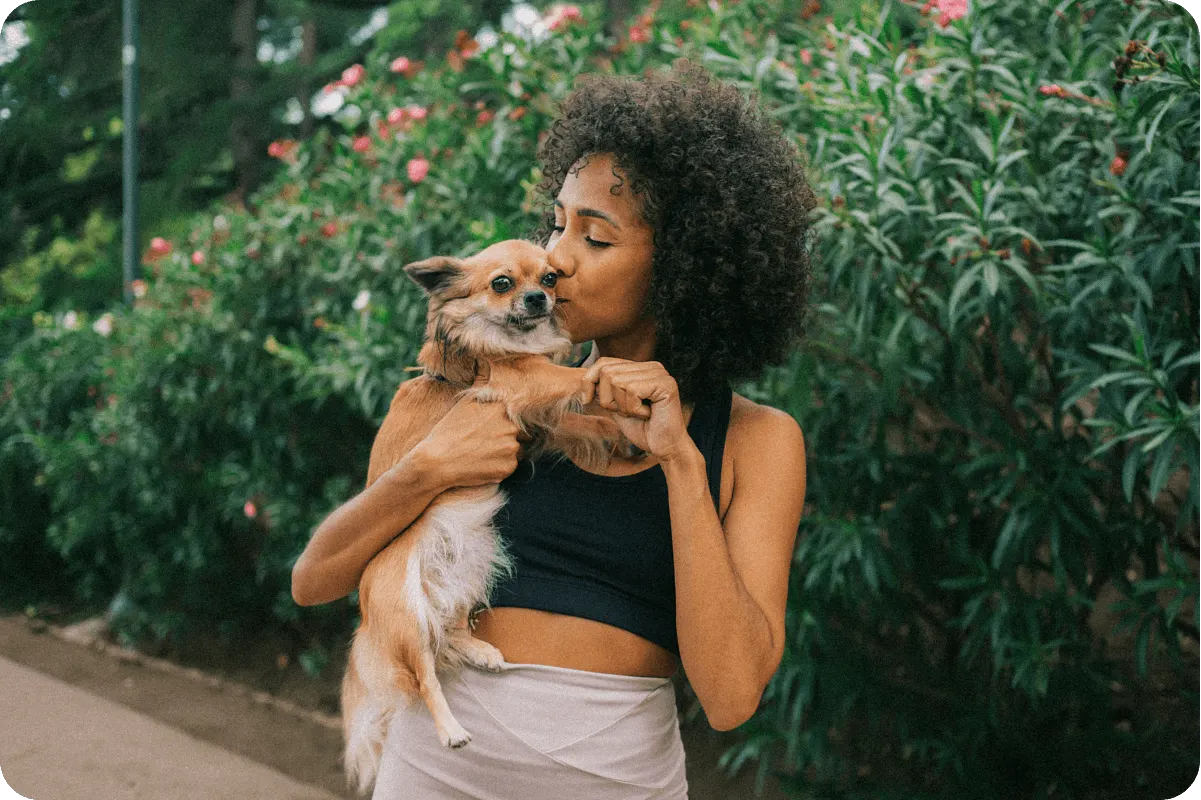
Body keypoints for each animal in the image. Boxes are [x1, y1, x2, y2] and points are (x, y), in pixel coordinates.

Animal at [341, 236, 638, 792]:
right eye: (502, 284)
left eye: (549, 278)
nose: (538, 299)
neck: (503, 345)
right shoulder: (524, 383)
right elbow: (574, 376)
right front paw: (612, 382)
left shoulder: (535, 423)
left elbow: (578, 423)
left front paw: (619, 434)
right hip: (407, 612)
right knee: (423, 673)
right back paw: (452, 731)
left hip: (474, 562)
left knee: (451, 635)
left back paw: (479, 651)